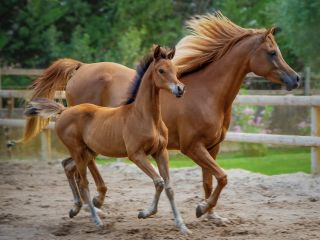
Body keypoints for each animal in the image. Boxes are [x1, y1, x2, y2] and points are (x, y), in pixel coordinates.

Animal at [21, 12, 298, 222]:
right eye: (272, 52)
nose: (295, 79)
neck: (207, 93)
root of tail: (81, 68)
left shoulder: (213, 147)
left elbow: (211, 181)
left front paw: (211, 215)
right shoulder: (192, 147)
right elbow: (222, 177)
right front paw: (202, 209)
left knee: (71, 166)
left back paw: (81, 206)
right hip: (91, 141)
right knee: (83, 167)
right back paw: (97, 201)